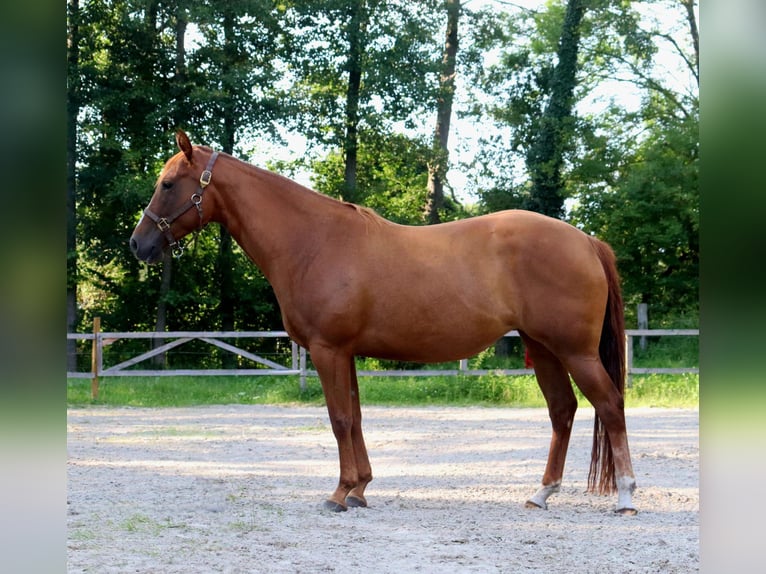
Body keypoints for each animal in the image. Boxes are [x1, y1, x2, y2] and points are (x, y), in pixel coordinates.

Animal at [134, 132, 640, 516]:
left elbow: (339, 419)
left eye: (169, 183)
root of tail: (585, 240)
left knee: (610, 406)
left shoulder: (328, 350)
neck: (313, 242)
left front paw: (339, 494)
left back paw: (626, 497)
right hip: (546, 348)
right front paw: (359, 488)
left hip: (574, 351)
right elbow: (355, 417)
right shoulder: (346, 353)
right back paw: (541, 493)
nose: (138, 244)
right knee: (563, 412)